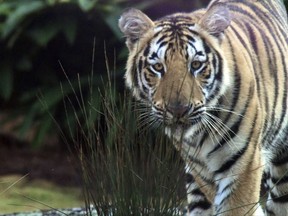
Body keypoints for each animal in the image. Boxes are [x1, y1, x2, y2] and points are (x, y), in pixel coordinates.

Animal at [117, 0, 288, 214]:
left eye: (196, 65)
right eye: (157, 67)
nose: (178, 109)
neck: (200, 135)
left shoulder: (243, 164)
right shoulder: (201, 170)